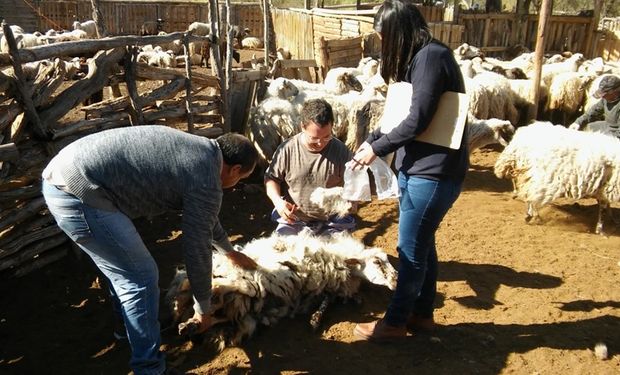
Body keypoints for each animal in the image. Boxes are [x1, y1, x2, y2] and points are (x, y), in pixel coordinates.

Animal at [165, 231, 398, 352]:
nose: (396, 281)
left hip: (245, 309)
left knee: (215, 312)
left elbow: (326, 301)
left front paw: (315, 319)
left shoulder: (321, 289)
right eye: (378, 261)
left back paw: (189, 325)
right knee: (208, 291)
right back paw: (189, 316)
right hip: (240, 285)